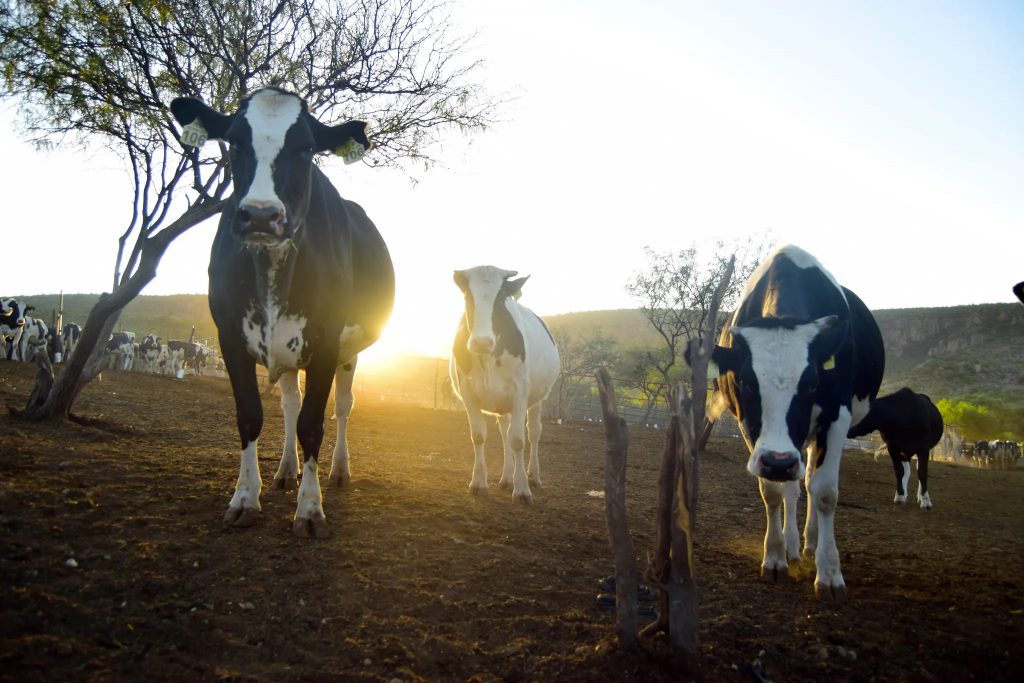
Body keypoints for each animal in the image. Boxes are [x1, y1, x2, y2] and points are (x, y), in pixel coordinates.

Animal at [169, 85, 393, 536]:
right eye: (235, 140)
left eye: (306, 147)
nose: (260, 214)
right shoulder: (229, 337)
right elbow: (251, 415)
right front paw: (244, 499)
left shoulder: (326, 339)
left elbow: (314, 423)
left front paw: (309, 509)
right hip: (287, 348)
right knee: (290, 403)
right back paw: (286, 470)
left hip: (348, 351)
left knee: (343, 406)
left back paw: (339, 471)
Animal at [448, 266, 561, 501]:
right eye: (467, 297)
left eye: (500, 299)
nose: (481, 342)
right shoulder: (468, 392)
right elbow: (478, 436)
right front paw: (478, 482)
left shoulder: (520, 392)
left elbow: (518, 439)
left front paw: (522, 489)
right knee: (504, 432)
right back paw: (507, 477)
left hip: (537, 399)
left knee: (533, 433)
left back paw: (533, 476)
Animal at [700, 245, 884, 598]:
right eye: (746, 382)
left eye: (812, 383)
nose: (779, 461)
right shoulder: (749, 426)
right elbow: (773, 491)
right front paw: (774, 558)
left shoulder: (837, 415)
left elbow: (824, 492)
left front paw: (829, 574)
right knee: (794, 487)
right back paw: (792, 545)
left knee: (809, 481)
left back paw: (811, 544)